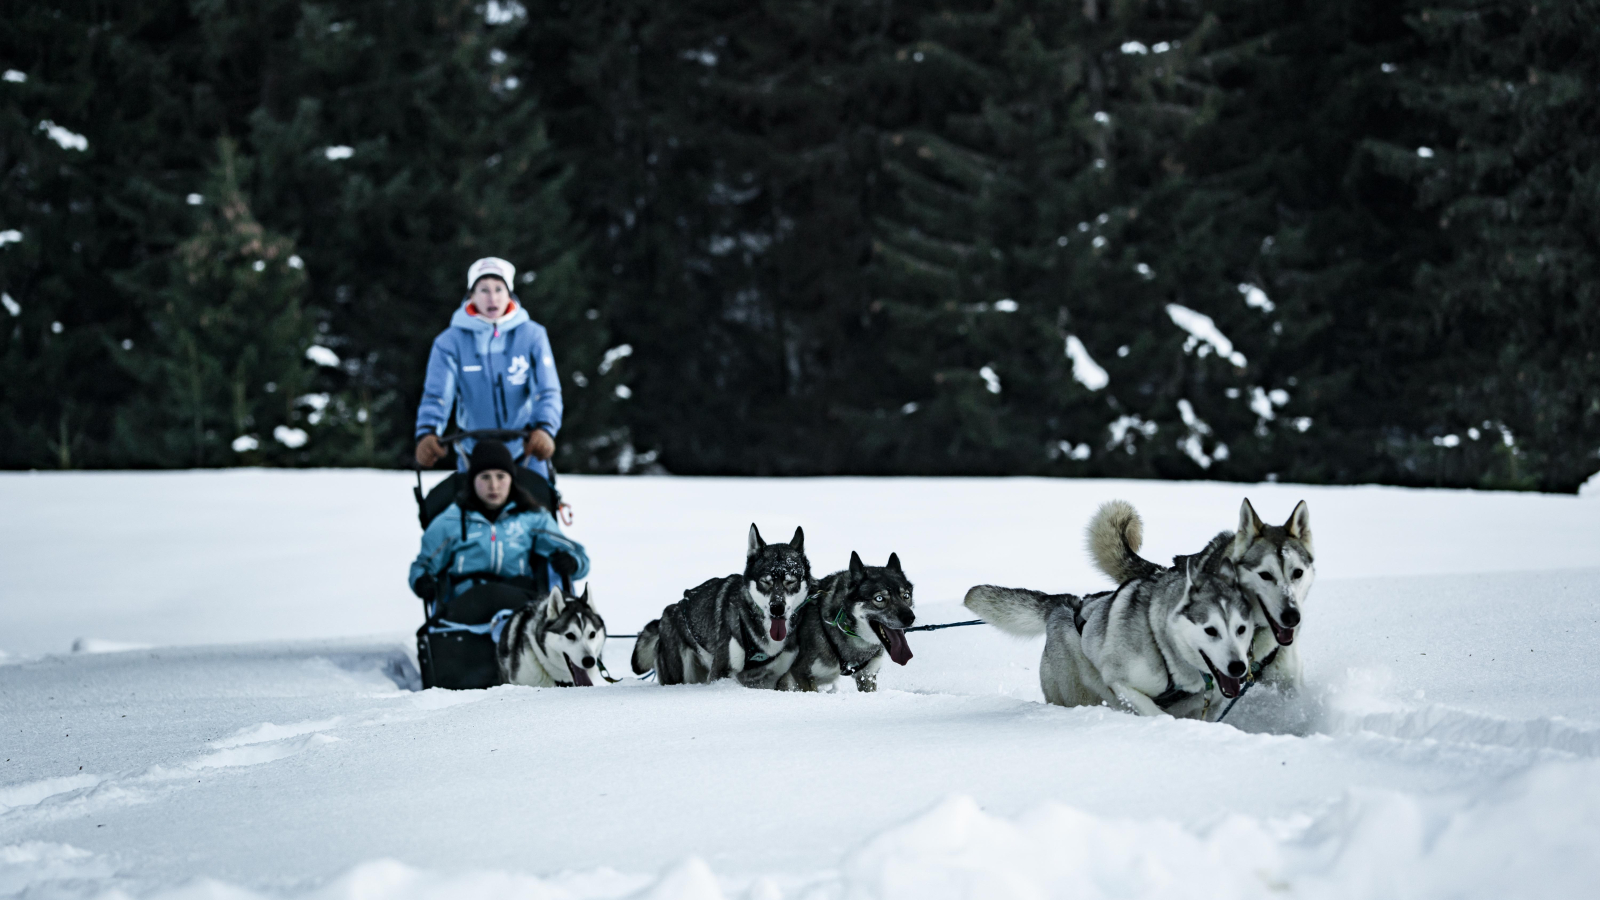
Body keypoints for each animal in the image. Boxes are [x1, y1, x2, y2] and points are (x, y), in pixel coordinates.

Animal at [630, 522, 812, 682]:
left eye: (790, 582)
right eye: (765, 582)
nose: (777, 608)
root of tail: (668, 612)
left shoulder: (773, 677)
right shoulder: (720, 672)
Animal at [966, 499, 1254, 717]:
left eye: (1241, 629)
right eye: (1210, 630)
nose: (1239, 667)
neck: (1163, 645)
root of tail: (1066, 602)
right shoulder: (1121, 683)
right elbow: (1154, 711)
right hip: (1076, 692)